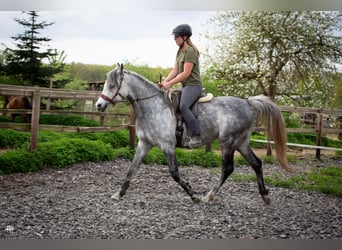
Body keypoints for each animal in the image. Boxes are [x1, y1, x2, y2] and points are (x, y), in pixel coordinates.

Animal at [95, 63, 294, 204]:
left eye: (112, 85)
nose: (99, 105)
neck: (153, 107)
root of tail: (248, 103)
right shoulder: (144, 144)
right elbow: (131, 169)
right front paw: (119, 194)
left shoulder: (167, 146)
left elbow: (175, 173)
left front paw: (193, 195)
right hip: (241, 142)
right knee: (256, 164)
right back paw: (265, 196)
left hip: (228, 142)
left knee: (228, 169)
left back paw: (208, 196)